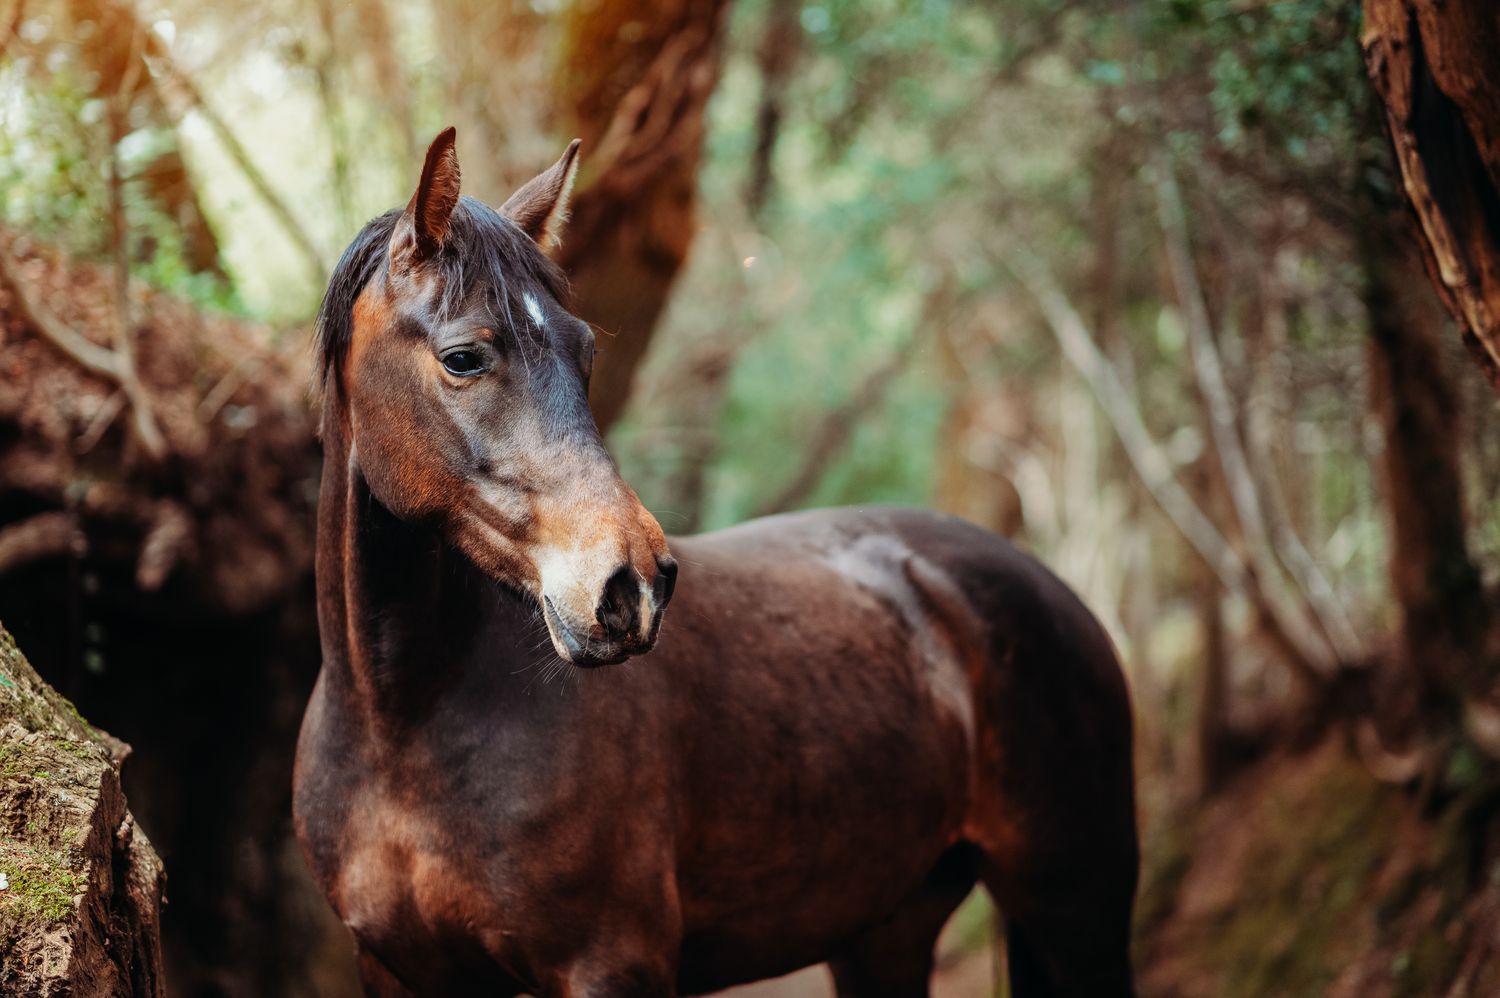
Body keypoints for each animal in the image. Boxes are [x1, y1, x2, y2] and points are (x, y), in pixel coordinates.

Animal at [292, 126, 1134, 996]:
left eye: (585, 350)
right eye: (462, 358)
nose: (632, 586)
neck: (401, 730)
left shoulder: (611, 965)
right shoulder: (397, 970)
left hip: (1078, 917)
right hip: (887, 931)